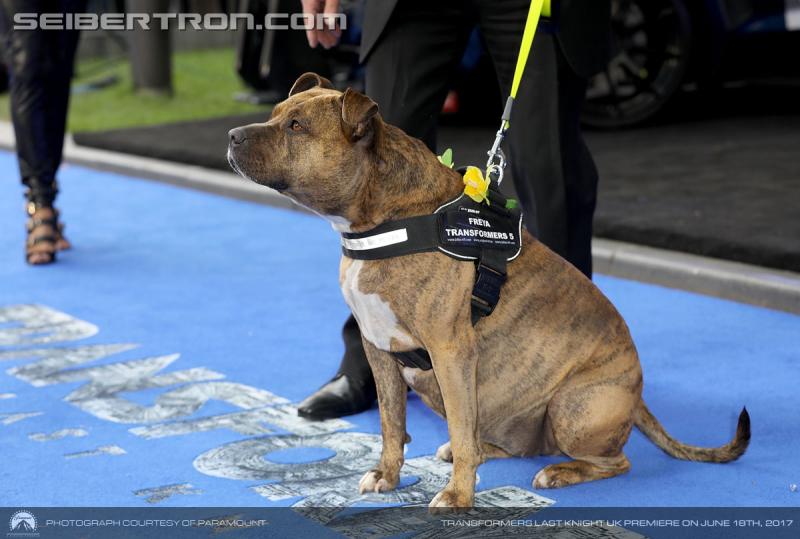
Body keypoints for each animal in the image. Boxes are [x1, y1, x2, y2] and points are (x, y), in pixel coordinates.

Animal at [227, 74, 752, 512]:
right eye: (276, 113)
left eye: (296, 126)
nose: (232, 135)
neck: (384, 216)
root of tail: (637, 394)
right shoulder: (379, 350)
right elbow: (392, 424)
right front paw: (387, 476)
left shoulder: (451, 352)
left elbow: (458, 429)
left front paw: (458, 497)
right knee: (502, 440)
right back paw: (491, 451)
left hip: (572, 407)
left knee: (613, 461)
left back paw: (558, 472)